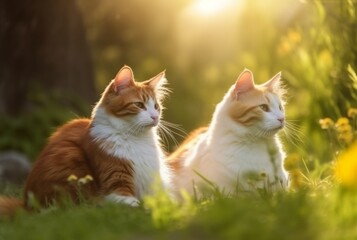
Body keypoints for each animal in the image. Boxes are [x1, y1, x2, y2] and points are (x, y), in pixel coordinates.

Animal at [0, 65, 170, 216]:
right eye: (139, 105)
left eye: (156, 107)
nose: (155, 117)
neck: (136, 139)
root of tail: (24, 205)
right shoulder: (116, 184)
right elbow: (138, 209)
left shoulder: (151, 185)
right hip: (71, 159)